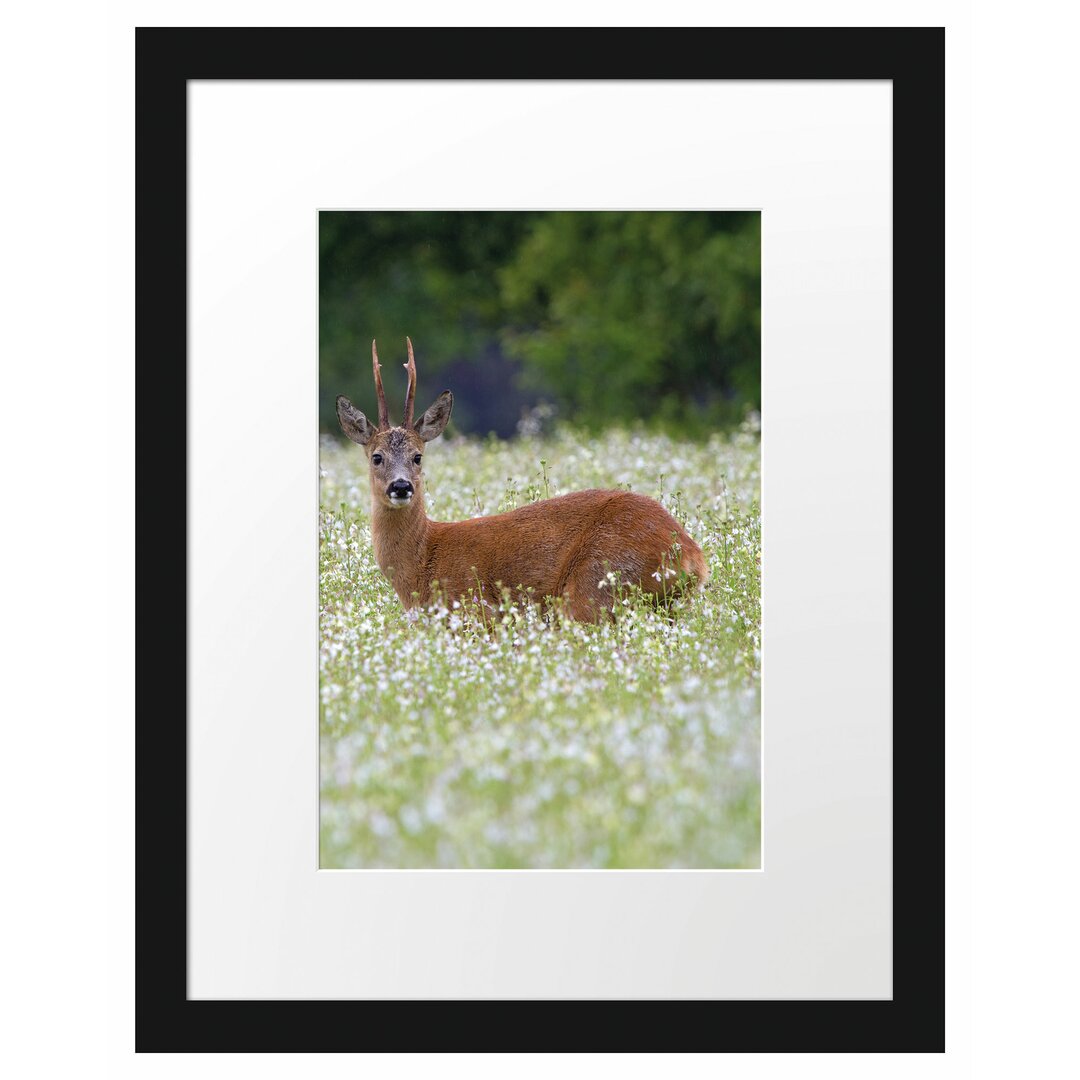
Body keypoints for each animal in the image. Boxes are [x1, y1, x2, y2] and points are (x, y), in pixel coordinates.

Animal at [334, 336, 708, 626]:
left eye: (417, 456)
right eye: (376, 456)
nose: (401, 486)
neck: (423, 562)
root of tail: (692, 556)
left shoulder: (477, 612)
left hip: (597, 585)